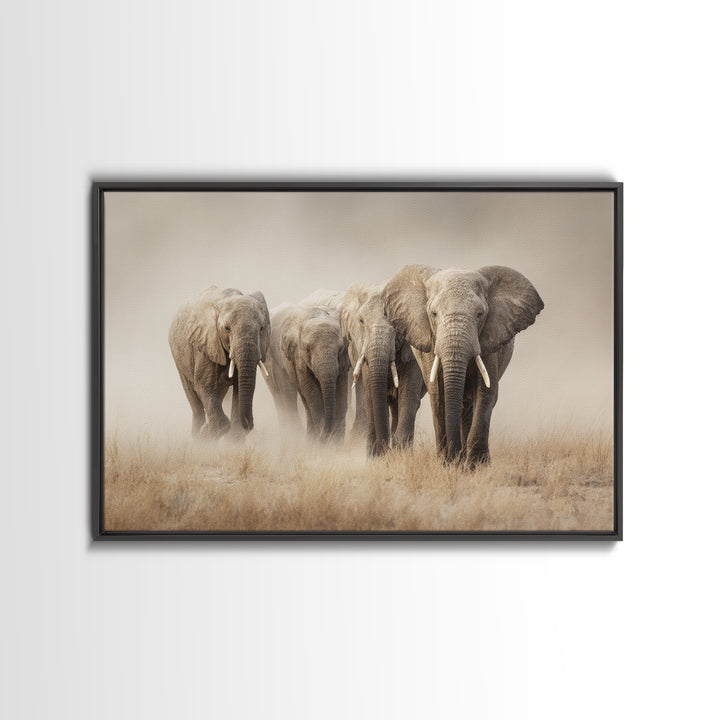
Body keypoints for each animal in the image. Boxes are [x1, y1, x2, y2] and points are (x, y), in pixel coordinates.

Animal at [168, 286, 270, 440]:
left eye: (262, 329)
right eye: (227, 329)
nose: (250, 425)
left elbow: (239, 388)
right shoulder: (206, 342)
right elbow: (203, 385)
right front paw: (205, 433)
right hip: (179, 358)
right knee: (194, 400)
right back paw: (197, 435)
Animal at [264, 304, 350, 442]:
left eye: (340, 349)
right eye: (307, 349)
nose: (326, 434)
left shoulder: (343, 362)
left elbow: (341, 394)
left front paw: (335, 442)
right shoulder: (298, 358)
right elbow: (312, 394)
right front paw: (322, 439)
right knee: (303, 398)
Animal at [339, 282, 426, 456]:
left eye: (396, 323)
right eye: (361, 321)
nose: (385, 450)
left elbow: (408, 395)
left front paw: (401, 456)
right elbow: (371, 396)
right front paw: (375, 457)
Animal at [383, 264, 544, 466]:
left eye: (480, 315)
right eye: (433, 314)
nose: (455, 455)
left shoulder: (490, 341)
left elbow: (486, 393)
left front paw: (477, 466)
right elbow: (438, 394)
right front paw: (447, 463)